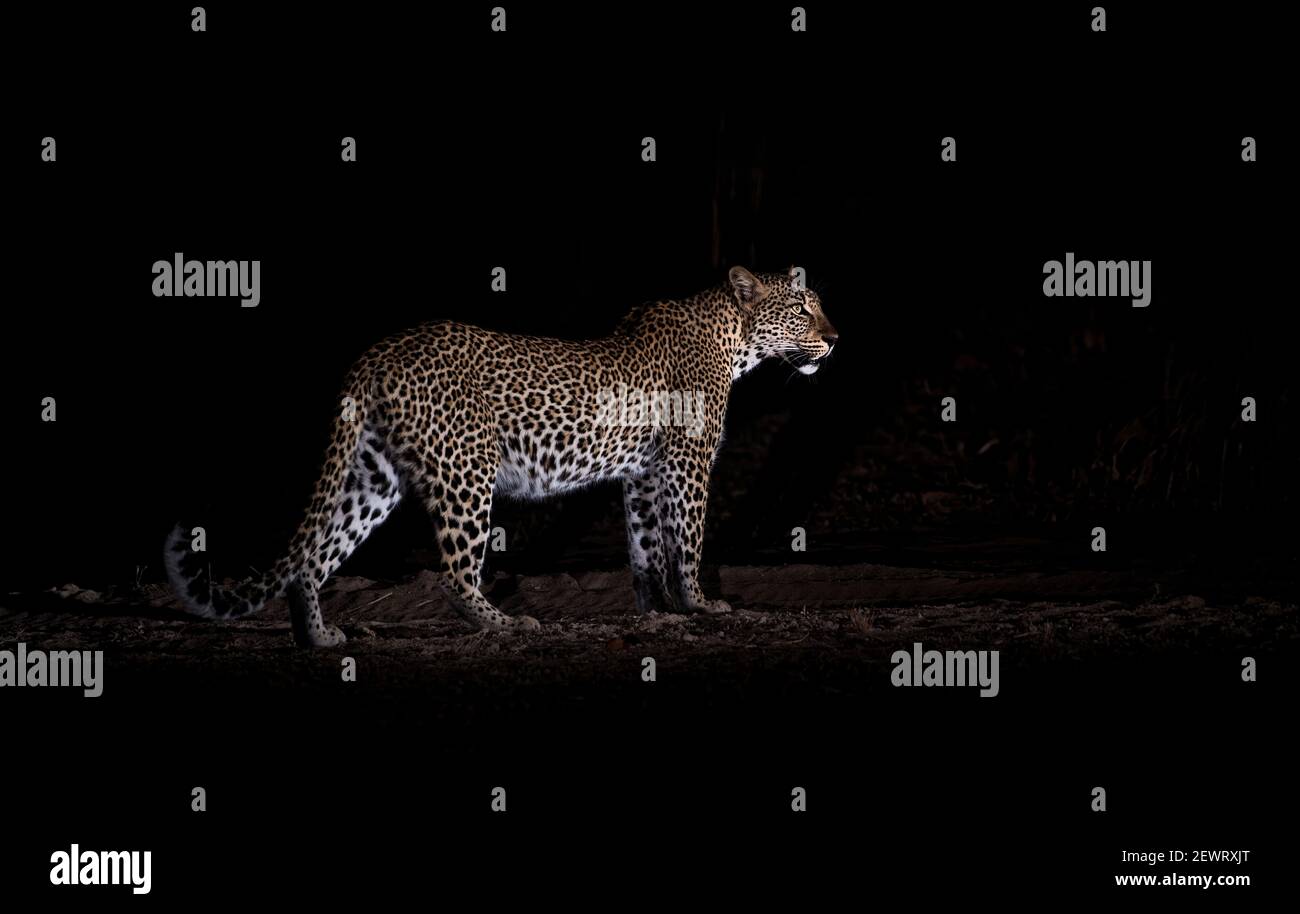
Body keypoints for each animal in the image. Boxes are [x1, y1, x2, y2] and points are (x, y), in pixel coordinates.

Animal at [165, 267, 832, 647]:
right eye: (802, 309)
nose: (835, 337)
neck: (735, 341)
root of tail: (377, 353)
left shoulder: (643, 474)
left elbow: (646, 549)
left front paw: (658, 615)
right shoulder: (687, 463)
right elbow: (686, 541)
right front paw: (699, 605)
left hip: (373, 475)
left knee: (313, 555)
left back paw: (319, 638)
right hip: (467, 469)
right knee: (454, 574)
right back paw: (505, 625)